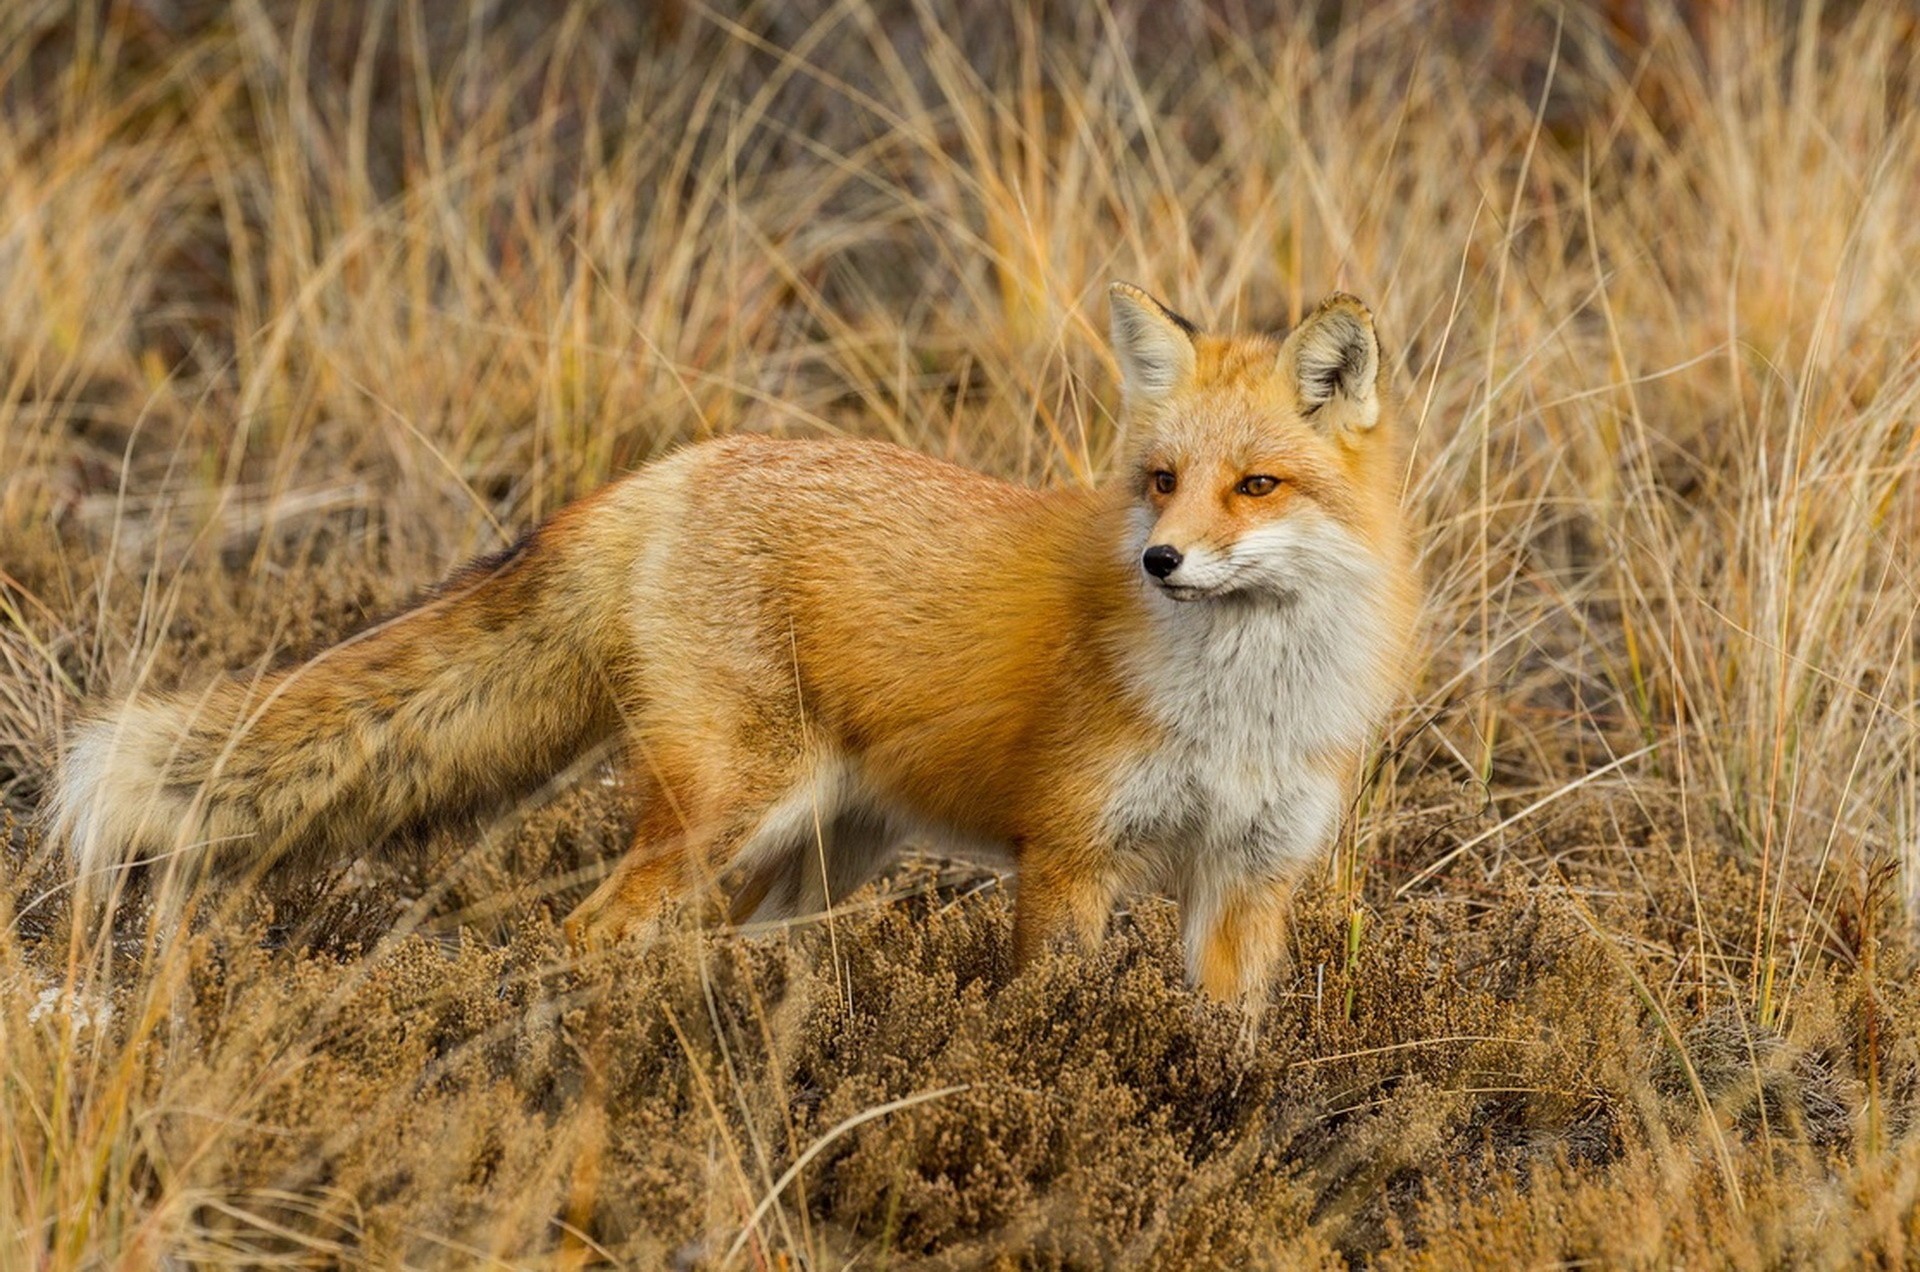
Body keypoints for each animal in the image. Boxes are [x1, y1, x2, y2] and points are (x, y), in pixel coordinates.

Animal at [52, 283, 1417, 1002]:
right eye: (1161, 481)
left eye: (1255, 486)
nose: (1159, 563)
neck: (1243, 712)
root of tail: (681, 463)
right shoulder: (1071, 860)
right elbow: (1051, 1020)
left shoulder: (1248, 883)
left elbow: (1222, 1044)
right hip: (728, 809)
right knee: (587, 933)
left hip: (818, 852)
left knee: (720, 941)